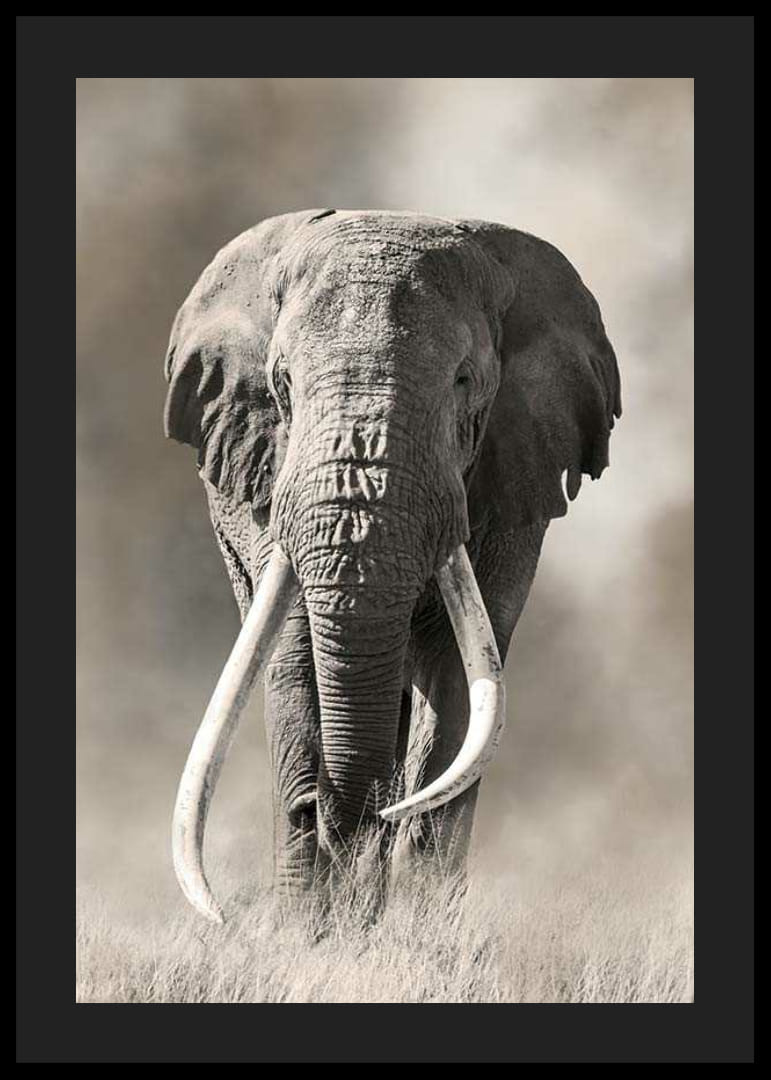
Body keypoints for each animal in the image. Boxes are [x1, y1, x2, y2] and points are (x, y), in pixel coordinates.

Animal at [163, 209, 621, 924]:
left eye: (464, 383)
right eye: (283, 384)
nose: (323, 811)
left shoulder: (511, 481)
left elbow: (460, 677)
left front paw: (416, 922)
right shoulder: (268, 479)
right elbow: (294, 654)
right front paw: (310, 924)